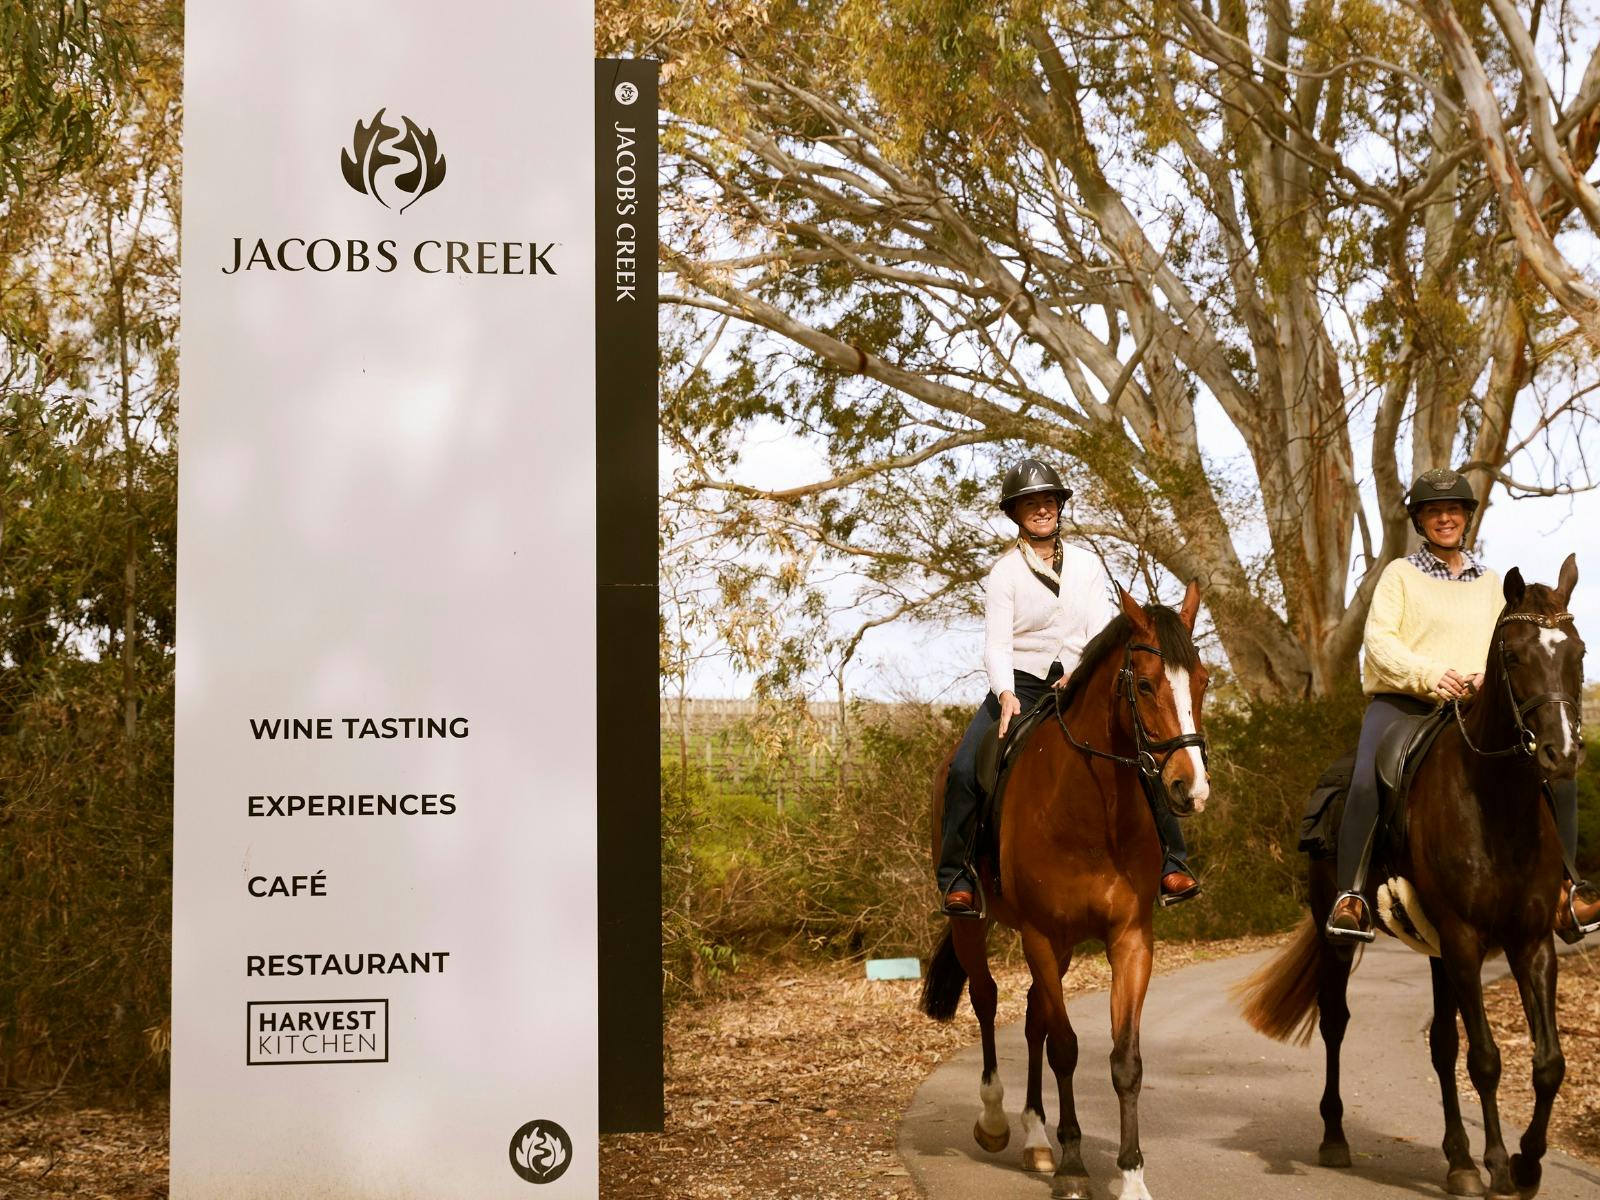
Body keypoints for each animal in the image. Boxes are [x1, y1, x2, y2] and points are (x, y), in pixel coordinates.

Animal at [919, 581, 1210, 1200]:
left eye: (1202, 681)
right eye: (1144, 684)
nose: (1189, 788)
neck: (1092, 807)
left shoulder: (1129, 939)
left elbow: (1124, 1059)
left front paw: (1131, 1175)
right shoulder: (1039, 933)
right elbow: (1066, 1047)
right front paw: (1076, 1167)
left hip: (1065, 944)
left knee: (1033, 1015)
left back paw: (1036, 1138)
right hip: (975, 924)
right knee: (988, 1000)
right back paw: (997, 1121)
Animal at [1236, 554, 1585, 1200]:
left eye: (1577, 652)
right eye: (1514, 655)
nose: (1562, 754)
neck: (1497, 804)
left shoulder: (1530, 942)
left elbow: (1546, 1062)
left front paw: (1521, 1164)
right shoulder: (1467, 940)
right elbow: (1486, 1060)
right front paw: (1501, 1165)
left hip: (1438, 952)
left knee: (1441, 1044)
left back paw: (1458, 1160)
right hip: (1341, 939)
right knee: (1337, 1022)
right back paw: (1336, 1138)